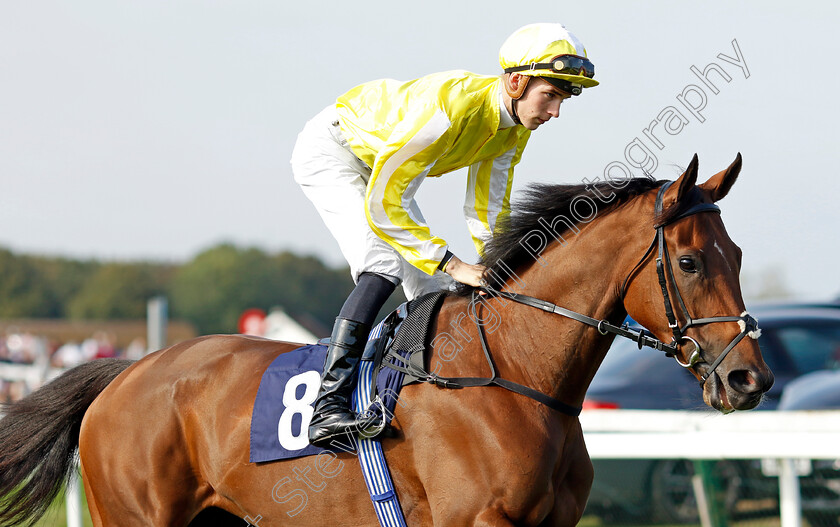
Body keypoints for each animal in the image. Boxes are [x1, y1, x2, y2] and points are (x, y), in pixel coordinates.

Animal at [0, 155, 776, 524]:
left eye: (739, 254)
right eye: (689, 261)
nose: (751, 379)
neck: (513, 375)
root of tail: (126, 371)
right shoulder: (476, 521)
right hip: (136, 514)